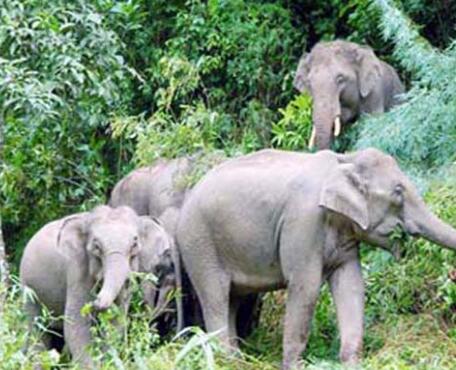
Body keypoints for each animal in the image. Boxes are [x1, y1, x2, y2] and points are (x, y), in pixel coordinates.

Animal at [19, 205, 174, 368]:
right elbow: (76, 324)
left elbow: (115, 323)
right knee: (36, 327)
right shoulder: (77, 268)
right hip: (28, 288)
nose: (96, 301)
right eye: (96, 246)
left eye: (134, 244)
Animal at [177, 148, 456, 370]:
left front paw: (352, 363)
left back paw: (236, 360)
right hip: (200, 244)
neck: (346, 160)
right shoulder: (303, 223)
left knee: (233, 300)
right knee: (216, 297)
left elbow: (351, 285)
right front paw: (295, 366)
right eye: (398, 192)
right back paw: (223, 360)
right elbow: (306, 287)